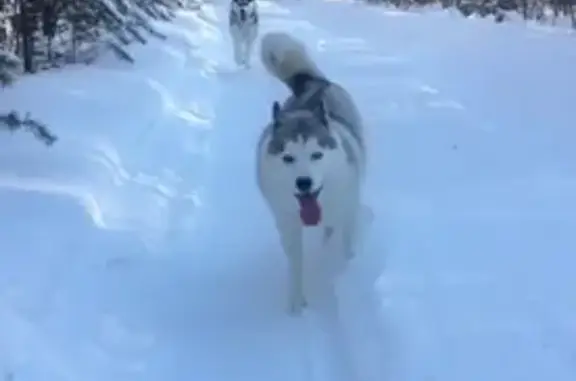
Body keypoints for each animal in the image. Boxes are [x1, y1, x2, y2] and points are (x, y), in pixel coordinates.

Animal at [255, 30, 364, 314]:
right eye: (288, 158)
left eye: (317, 155)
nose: (303, 183)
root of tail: (314, 83)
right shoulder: (287, 225)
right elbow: (296, 263)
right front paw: (296, 302)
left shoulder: (344, 211)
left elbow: (341, 243)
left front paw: (340, 269)